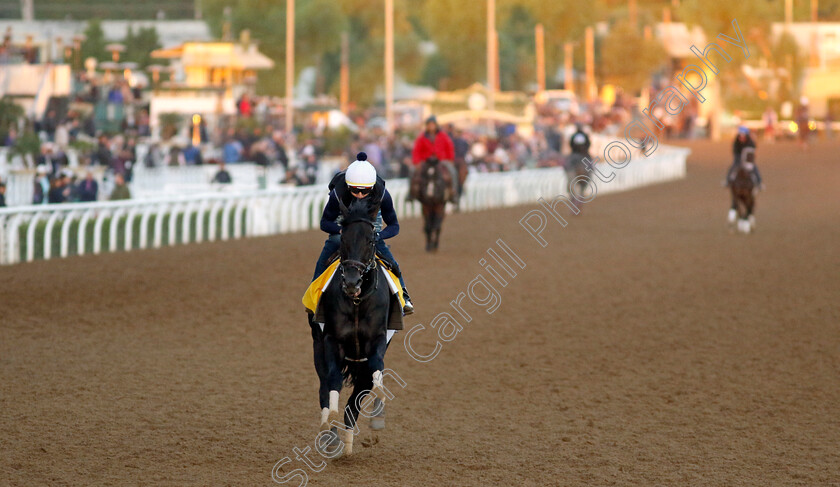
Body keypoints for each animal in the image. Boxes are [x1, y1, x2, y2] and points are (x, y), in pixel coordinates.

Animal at [316, 196, 392, 456]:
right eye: (344, 239)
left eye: (371, 240)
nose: (351, 282)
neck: (358, 302)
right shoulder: (332, 339)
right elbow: (333, 380)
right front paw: (330, 421)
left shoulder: (377, 341)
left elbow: (376, 371)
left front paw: (378, 411)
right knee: (323, 385)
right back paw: (330, 435)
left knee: (358, 394)